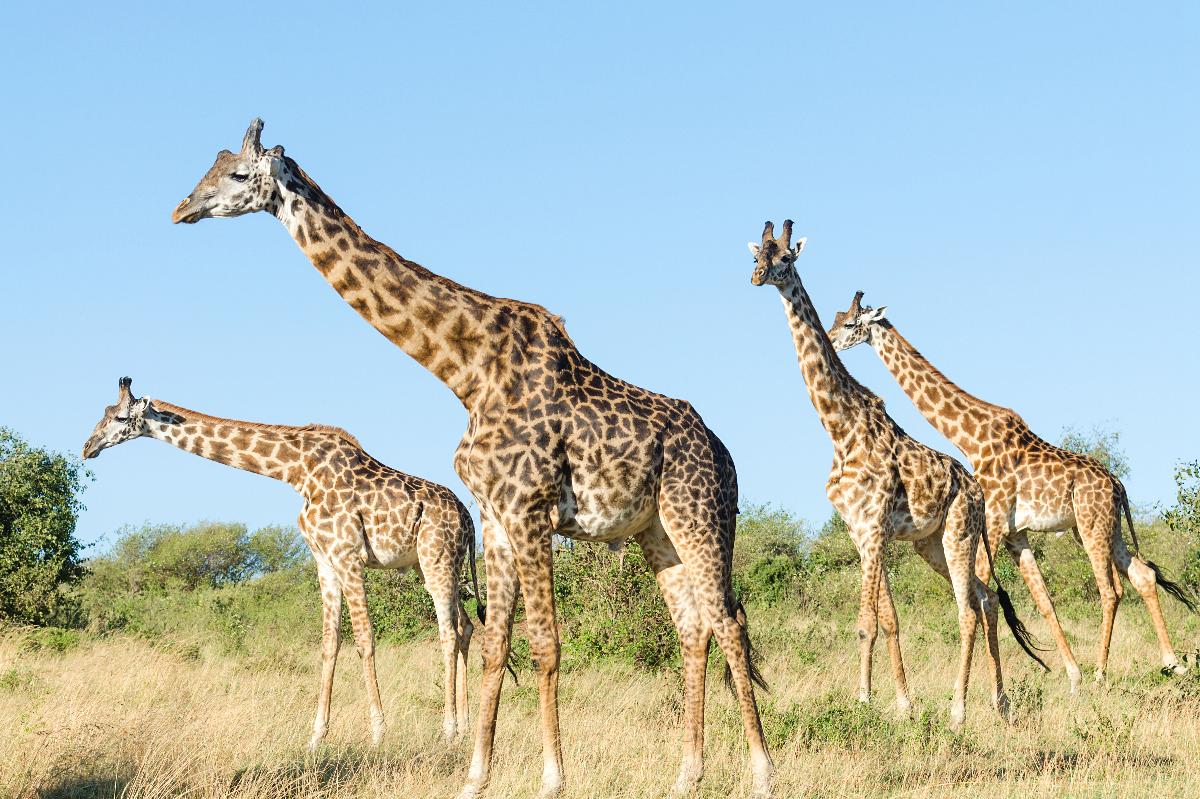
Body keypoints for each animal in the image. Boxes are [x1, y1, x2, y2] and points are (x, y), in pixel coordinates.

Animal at [81, 377, 481, 746]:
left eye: (119, 417)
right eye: (103, 413)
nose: (88, 447)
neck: (297, 471)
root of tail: (468, 519)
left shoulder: (348, 555)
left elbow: (365, 639)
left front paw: (379, 733)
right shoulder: (324, 560)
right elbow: (329, 643)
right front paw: (316, 737)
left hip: (436, 558)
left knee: (448, 631)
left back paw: (448, 730)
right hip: (436, 564)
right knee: (465, 626)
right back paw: (466, 727)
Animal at [171, 119, 773, 799]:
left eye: (236, 174)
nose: (181, 209)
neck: (466, 371)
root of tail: (725, 456)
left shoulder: (531, 508)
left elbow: (544, 643)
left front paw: (552, 778)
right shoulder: (495, 516)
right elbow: (493, 645)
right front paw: (476, 776)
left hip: (701, 517)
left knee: (729, 622)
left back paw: (761, 772)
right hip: (656, 532)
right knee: (694, 627)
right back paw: (687, 774)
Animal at [749, 221, 1047, 729]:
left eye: (786, 257)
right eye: (757, 253)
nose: (757, 276)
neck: (839, 428)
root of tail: (975, 489)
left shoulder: (872, 528)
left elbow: (866, 622)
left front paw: (864, 701)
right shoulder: (861, 531)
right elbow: (889, 619)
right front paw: (904, 704)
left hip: (958, 533)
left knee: (968, 610)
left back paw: (958, 711)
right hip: (931, 544)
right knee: (987, 599)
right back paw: (1000, 703)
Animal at [828, 291, 1197, 684]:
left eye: (850, 323)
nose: (831, 340)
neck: (969, 438)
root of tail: (1117, 483)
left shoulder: (989, 524)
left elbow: (981, 597)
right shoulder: (1014, 533)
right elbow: (1044, 600)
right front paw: (1071, 676)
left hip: (1091, 526)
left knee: (1110, 590)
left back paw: (1101, 671)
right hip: (1103, 528)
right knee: (1142, 575)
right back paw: (1172, 662)